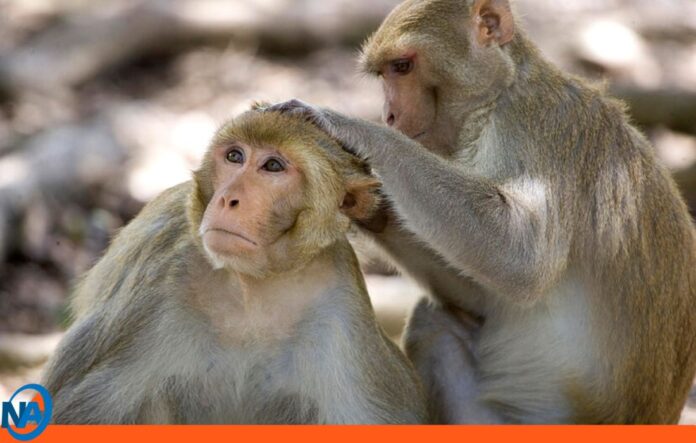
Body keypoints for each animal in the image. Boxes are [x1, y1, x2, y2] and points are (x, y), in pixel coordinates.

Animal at [40, 108, 428, 424]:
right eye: (234, 156)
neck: (253, 286)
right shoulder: (158, 280)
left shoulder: (342, 312)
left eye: (273, 166)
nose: (227, 198)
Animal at [268, 0, 696, 424]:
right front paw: (365, 205)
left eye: (402, 67)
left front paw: (350, 129)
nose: (389, 114)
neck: (496, 99)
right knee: (434, 321)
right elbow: (480, 296)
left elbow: (521, 256)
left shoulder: (537, 125)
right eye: (385, 73)